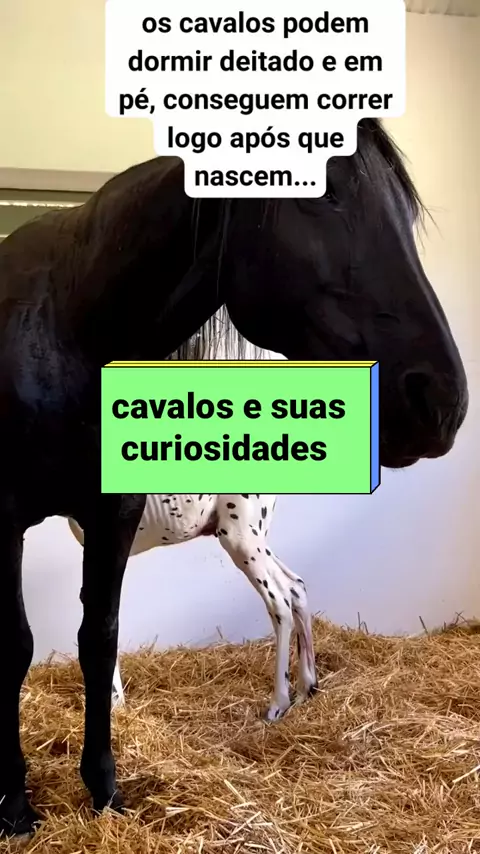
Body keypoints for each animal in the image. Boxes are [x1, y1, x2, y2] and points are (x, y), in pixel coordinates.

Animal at [0, 117, 469, 837]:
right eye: (320, 191)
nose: (440, 402)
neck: (68, 327)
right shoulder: (10, 519)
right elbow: (27, 645)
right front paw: (20, 805)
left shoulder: (112, 515)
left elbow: (96, 639)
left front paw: (102, 789)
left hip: (243, 539)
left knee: (285, 595)